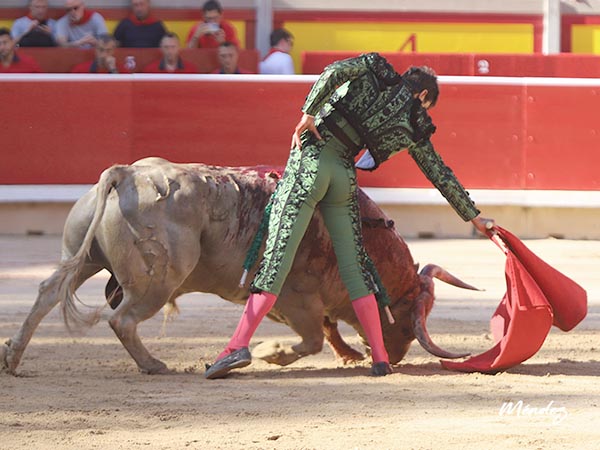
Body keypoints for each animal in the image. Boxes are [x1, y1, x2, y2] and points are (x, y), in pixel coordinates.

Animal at [1, 156, 478, 374]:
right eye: (407, 316)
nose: (396, 357)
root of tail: (128, 174)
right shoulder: (297, 297)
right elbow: (312, 338)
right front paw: (271, 353)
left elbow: (328, 329)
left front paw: (348, 354)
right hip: (158, 281)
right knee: (122, 319)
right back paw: (155, 364)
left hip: (80, 256)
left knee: (48, 292)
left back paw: (13, 356)